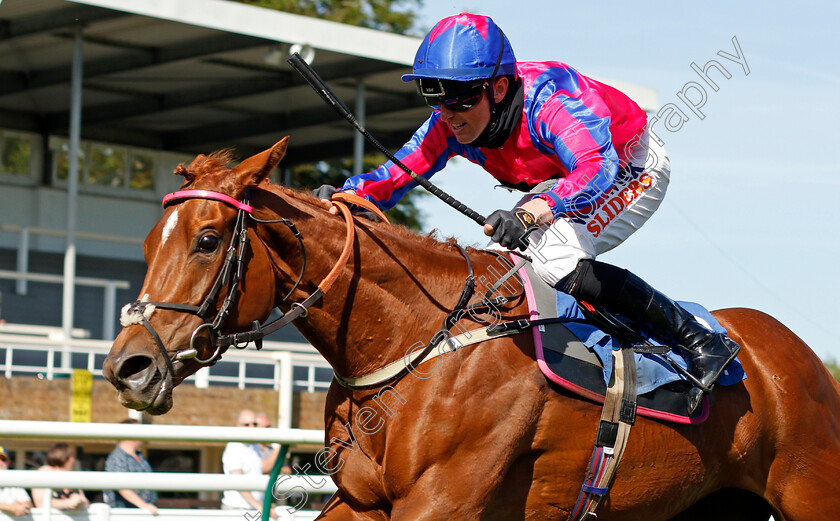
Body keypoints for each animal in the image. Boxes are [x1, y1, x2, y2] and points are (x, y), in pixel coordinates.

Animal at [103, 139, 840, 520]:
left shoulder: (442, 500)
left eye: (206, 240)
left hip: (809, 490)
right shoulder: (362, 501)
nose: (127, 367)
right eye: (145, 241)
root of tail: (797, 356)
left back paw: (708, 351)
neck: (414, 342)